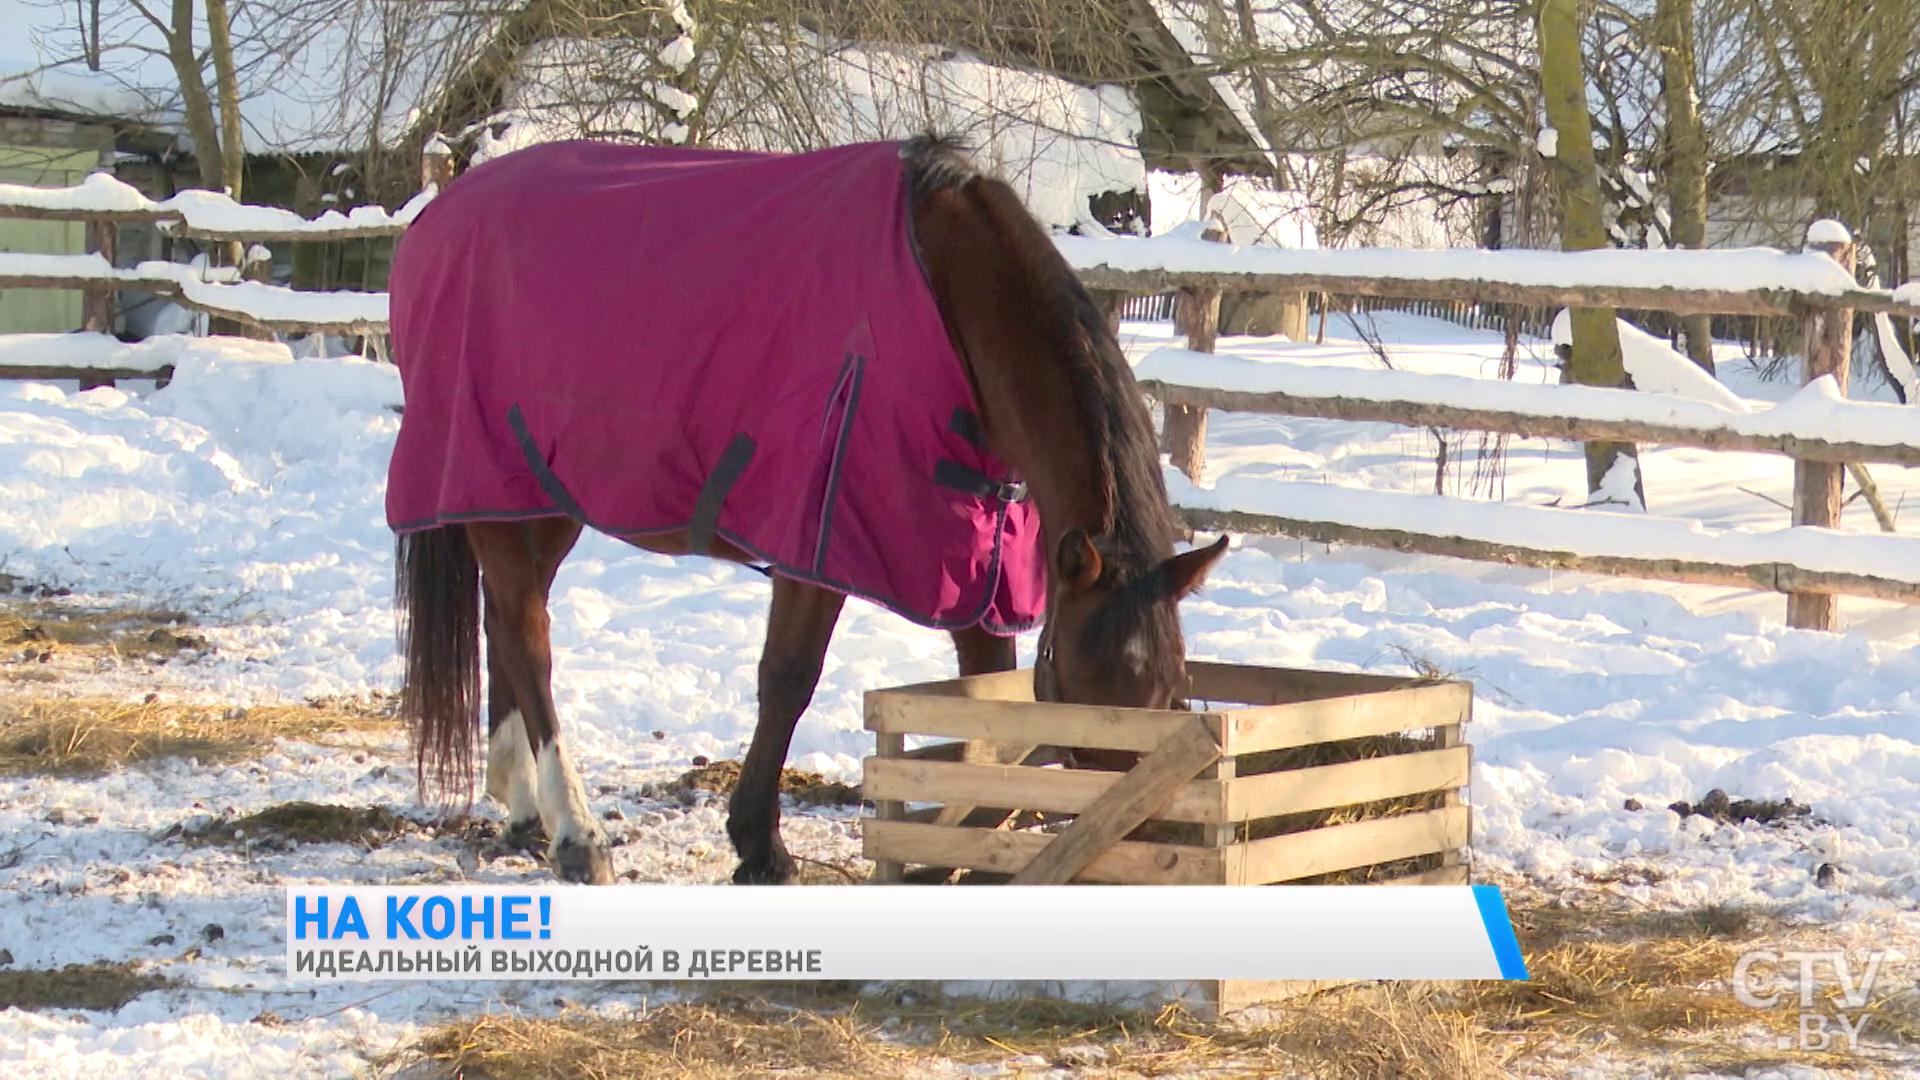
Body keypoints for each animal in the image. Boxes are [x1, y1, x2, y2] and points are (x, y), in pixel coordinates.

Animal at [391, 138, 1228, 883]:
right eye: (1086, 691)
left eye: (1167, 692)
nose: (1136, 839)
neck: (949, 299)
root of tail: (443, 215)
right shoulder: (820, 537)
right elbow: (788, 678)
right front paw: (758, 844)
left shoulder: (969, 553)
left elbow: (982, 693)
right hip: (489, 482)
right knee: (527, 638)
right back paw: (575, 832)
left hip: (537, 499)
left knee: (505, 623)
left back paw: (523, 809)